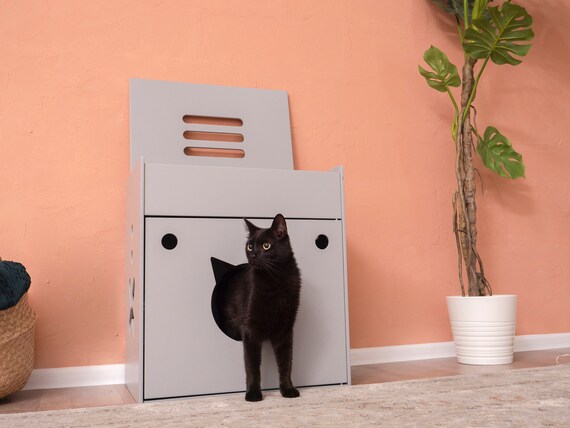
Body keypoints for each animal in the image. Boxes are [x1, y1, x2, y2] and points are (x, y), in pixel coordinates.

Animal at [210, 214, 300, 402]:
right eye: (250, 245)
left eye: (266, 245)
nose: (252, 254)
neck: (275, 279)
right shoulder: (250, 329)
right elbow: (252, 366)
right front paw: (253, 394)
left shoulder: (286, 329)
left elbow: (286, 362)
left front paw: (288, 389)